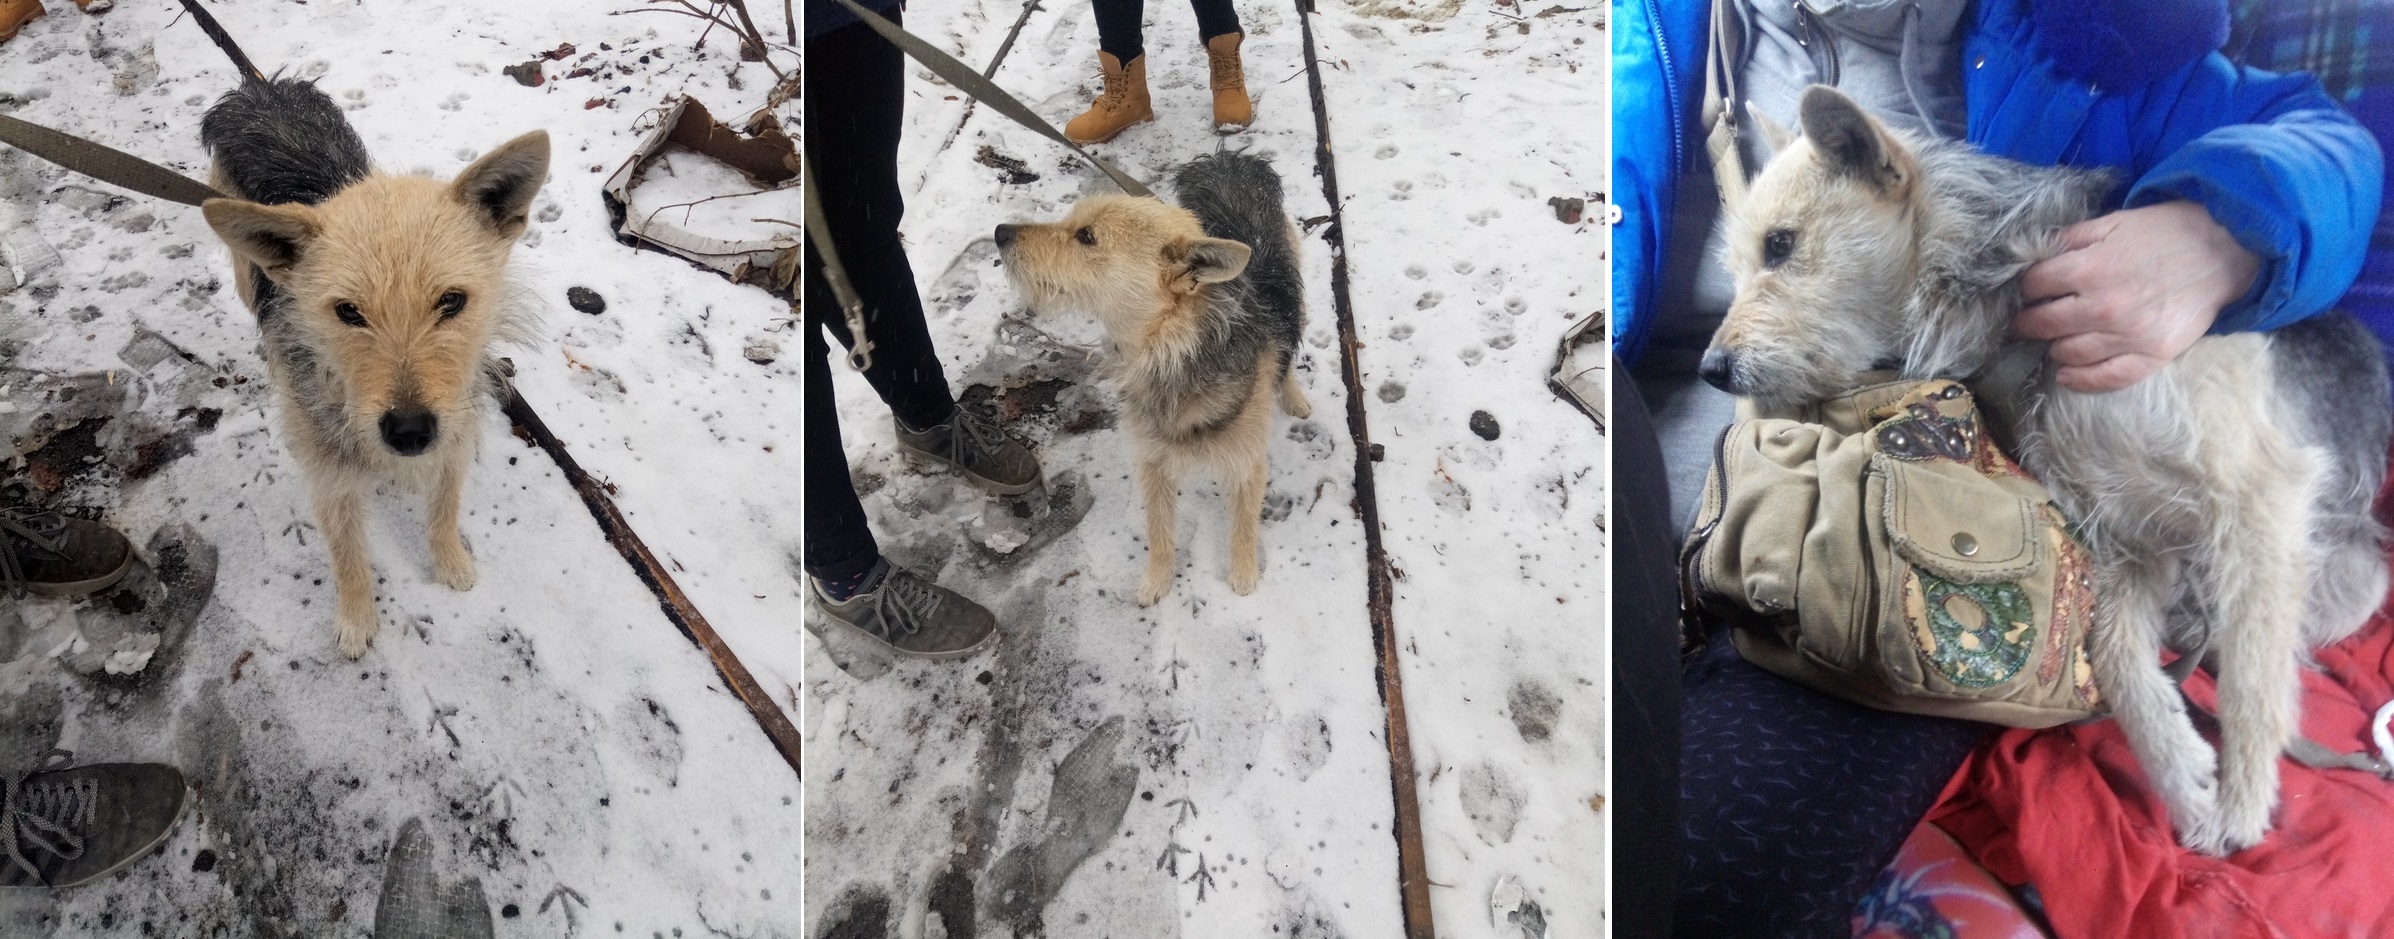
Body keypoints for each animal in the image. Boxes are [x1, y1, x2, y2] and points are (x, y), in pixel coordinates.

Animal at [181, 1, 548, 661]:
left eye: (452, 302)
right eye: (348, 313)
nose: (408, 432)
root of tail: (260, 89)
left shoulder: (455, 427)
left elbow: (444, 507)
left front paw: (450, 563)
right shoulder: (328, 477)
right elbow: (346, 553)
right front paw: (356, 619)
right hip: (245, 267)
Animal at [1000, 150, 1321, 606]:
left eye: (1086, 237)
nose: (1000, 232)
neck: (1173, 349)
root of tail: (1227, 160)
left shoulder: (1247, 463)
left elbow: (1243, 527)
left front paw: (1243, 576)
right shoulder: (1151, 460)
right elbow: (1158, 531)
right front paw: (1157, 581)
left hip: (1296, 288)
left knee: (1289, 343)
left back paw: (1293, 396)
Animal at [1704, 84, 2394, 852]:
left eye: (1781, 244)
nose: (1710, 369)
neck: (2018, 326)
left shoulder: (2261, 494)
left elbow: (2252, 674)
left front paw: (2243, 801)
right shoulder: (2131, 538)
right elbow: (2118, 658)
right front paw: (2180, 773)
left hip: (2354, 579)